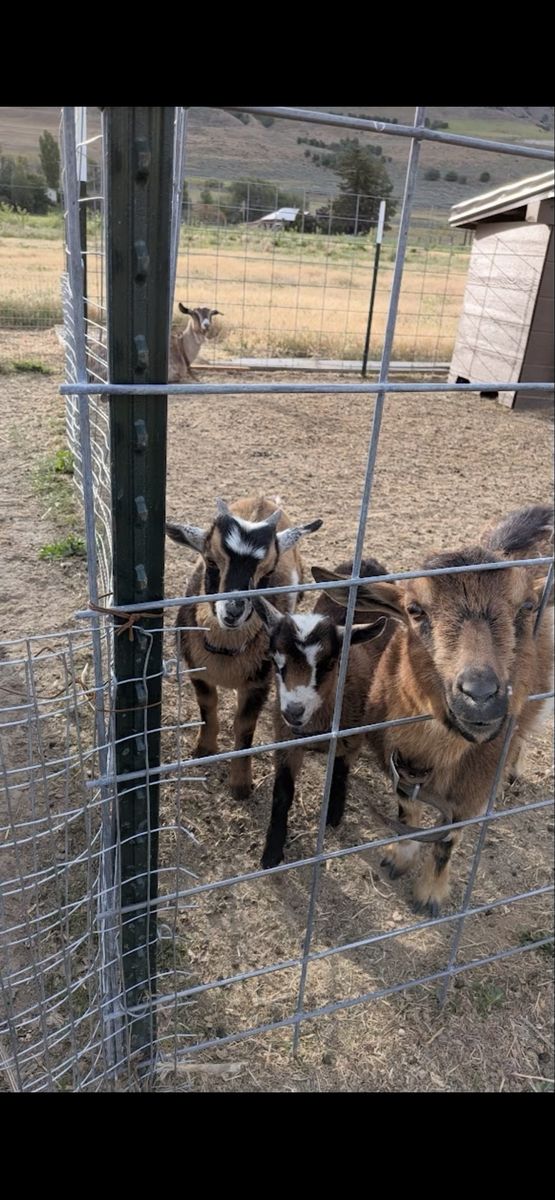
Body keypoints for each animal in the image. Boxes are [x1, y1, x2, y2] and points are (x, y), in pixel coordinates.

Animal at [166, 496, 323, 800]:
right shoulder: (197, 671)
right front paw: (204, 749)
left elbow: (245, 726)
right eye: (210, 560)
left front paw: (240, 784)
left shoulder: (258, 682)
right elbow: (207, 706)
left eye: (268, 571)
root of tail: (262, 500)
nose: (233, 611)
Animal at [252, 558, 391, 868]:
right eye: (276, 661)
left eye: (328, 664)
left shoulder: (350, 738)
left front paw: (334, 814)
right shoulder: (286, 741)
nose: (293, 711)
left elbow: (340, 771)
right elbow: (282, 792)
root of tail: (368, 563)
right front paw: (272, 852)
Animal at [312, 504, 554, 915]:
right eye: (414, 609)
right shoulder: (397, 761)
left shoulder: (472, 790)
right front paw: (399, 857)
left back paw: (513, 771)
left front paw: (430, 895)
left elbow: (446, 841)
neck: (433, 752)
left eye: (526, 607)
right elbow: (406, 812)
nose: (480, 694)